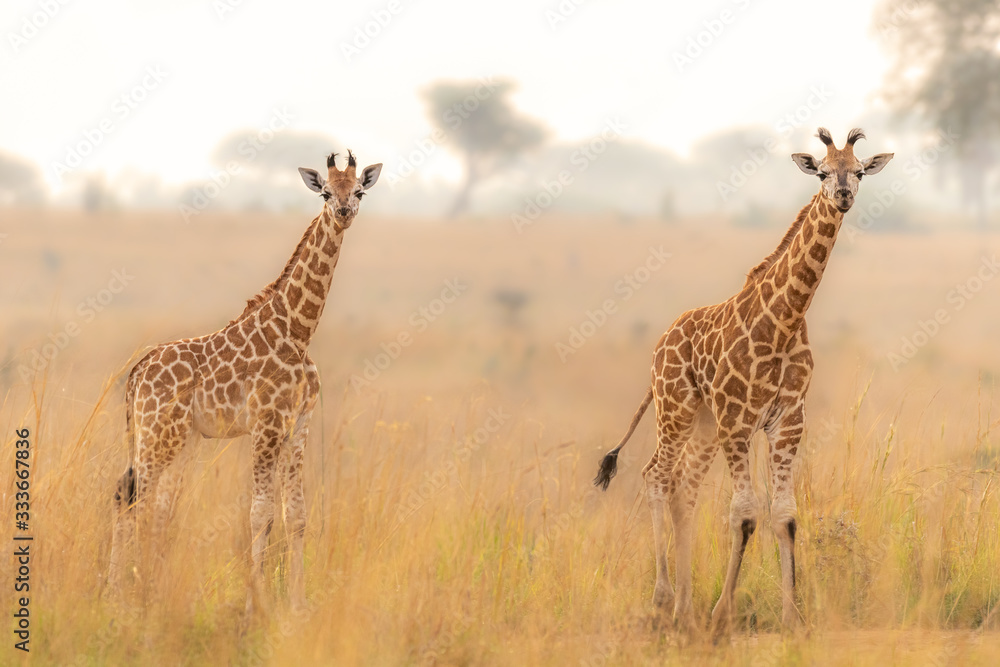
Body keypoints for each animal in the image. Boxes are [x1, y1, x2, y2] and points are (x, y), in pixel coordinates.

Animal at [108, 150, 382, 612]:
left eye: (359, 191)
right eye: (326, 192)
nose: (344, 212)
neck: (297, 331)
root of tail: (137, 372)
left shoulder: (298, 425)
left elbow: (296, 515)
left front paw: (297, 604)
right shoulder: (266, 425)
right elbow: (260, 514)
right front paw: (257, 603)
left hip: (181, 438)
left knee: (156, 506)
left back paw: (152, 589)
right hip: (156, 433)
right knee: (131, 497)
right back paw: (122, 594)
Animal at [593, 128, 893, 635]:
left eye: (858, 171)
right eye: (822, 172)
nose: (843, 196)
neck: (786, 321)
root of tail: (659, 344)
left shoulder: (786, 420)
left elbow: (785, 515)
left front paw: (793, 618)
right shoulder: (739, 418)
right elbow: (745, 514)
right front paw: (722, 617)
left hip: (703, 423)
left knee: (684, 486)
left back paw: (685, 608)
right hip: (676, 409)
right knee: (657, 475)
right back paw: (664, 601)